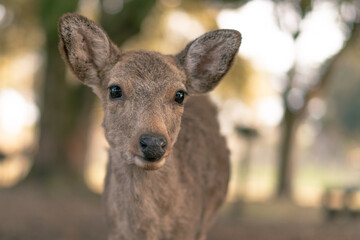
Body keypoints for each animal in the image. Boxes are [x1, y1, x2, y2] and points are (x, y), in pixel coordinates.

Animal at [58, 13, 242, 240]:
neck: (148, 231)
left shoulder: (190, 229)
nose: (153, 143)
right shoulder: (114, 230)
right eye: (115, 89)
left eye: (180, 94)